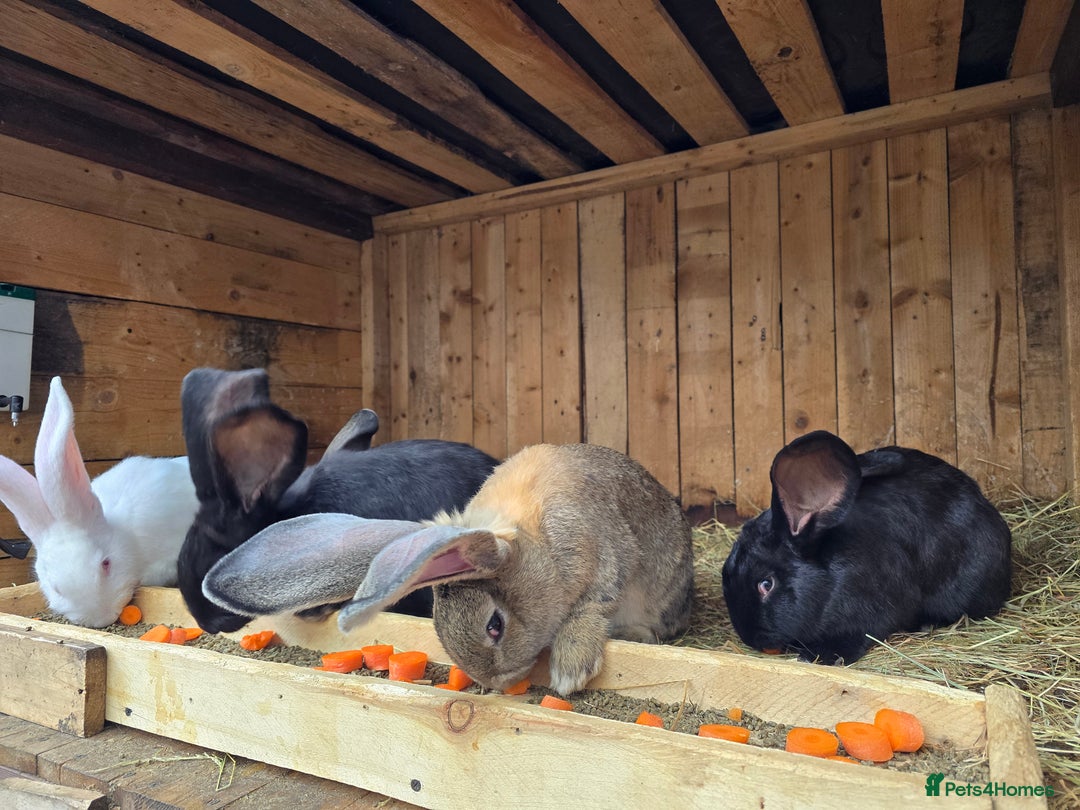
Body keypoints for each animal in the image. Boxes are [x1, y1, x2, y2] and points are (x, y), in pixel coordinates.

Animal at [201, 442, 696, 696]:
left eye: (495, 625)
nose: (499, 683)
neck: (534, 544)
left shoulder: (604, 557)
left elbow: (592, 605)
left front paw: (570, 670)